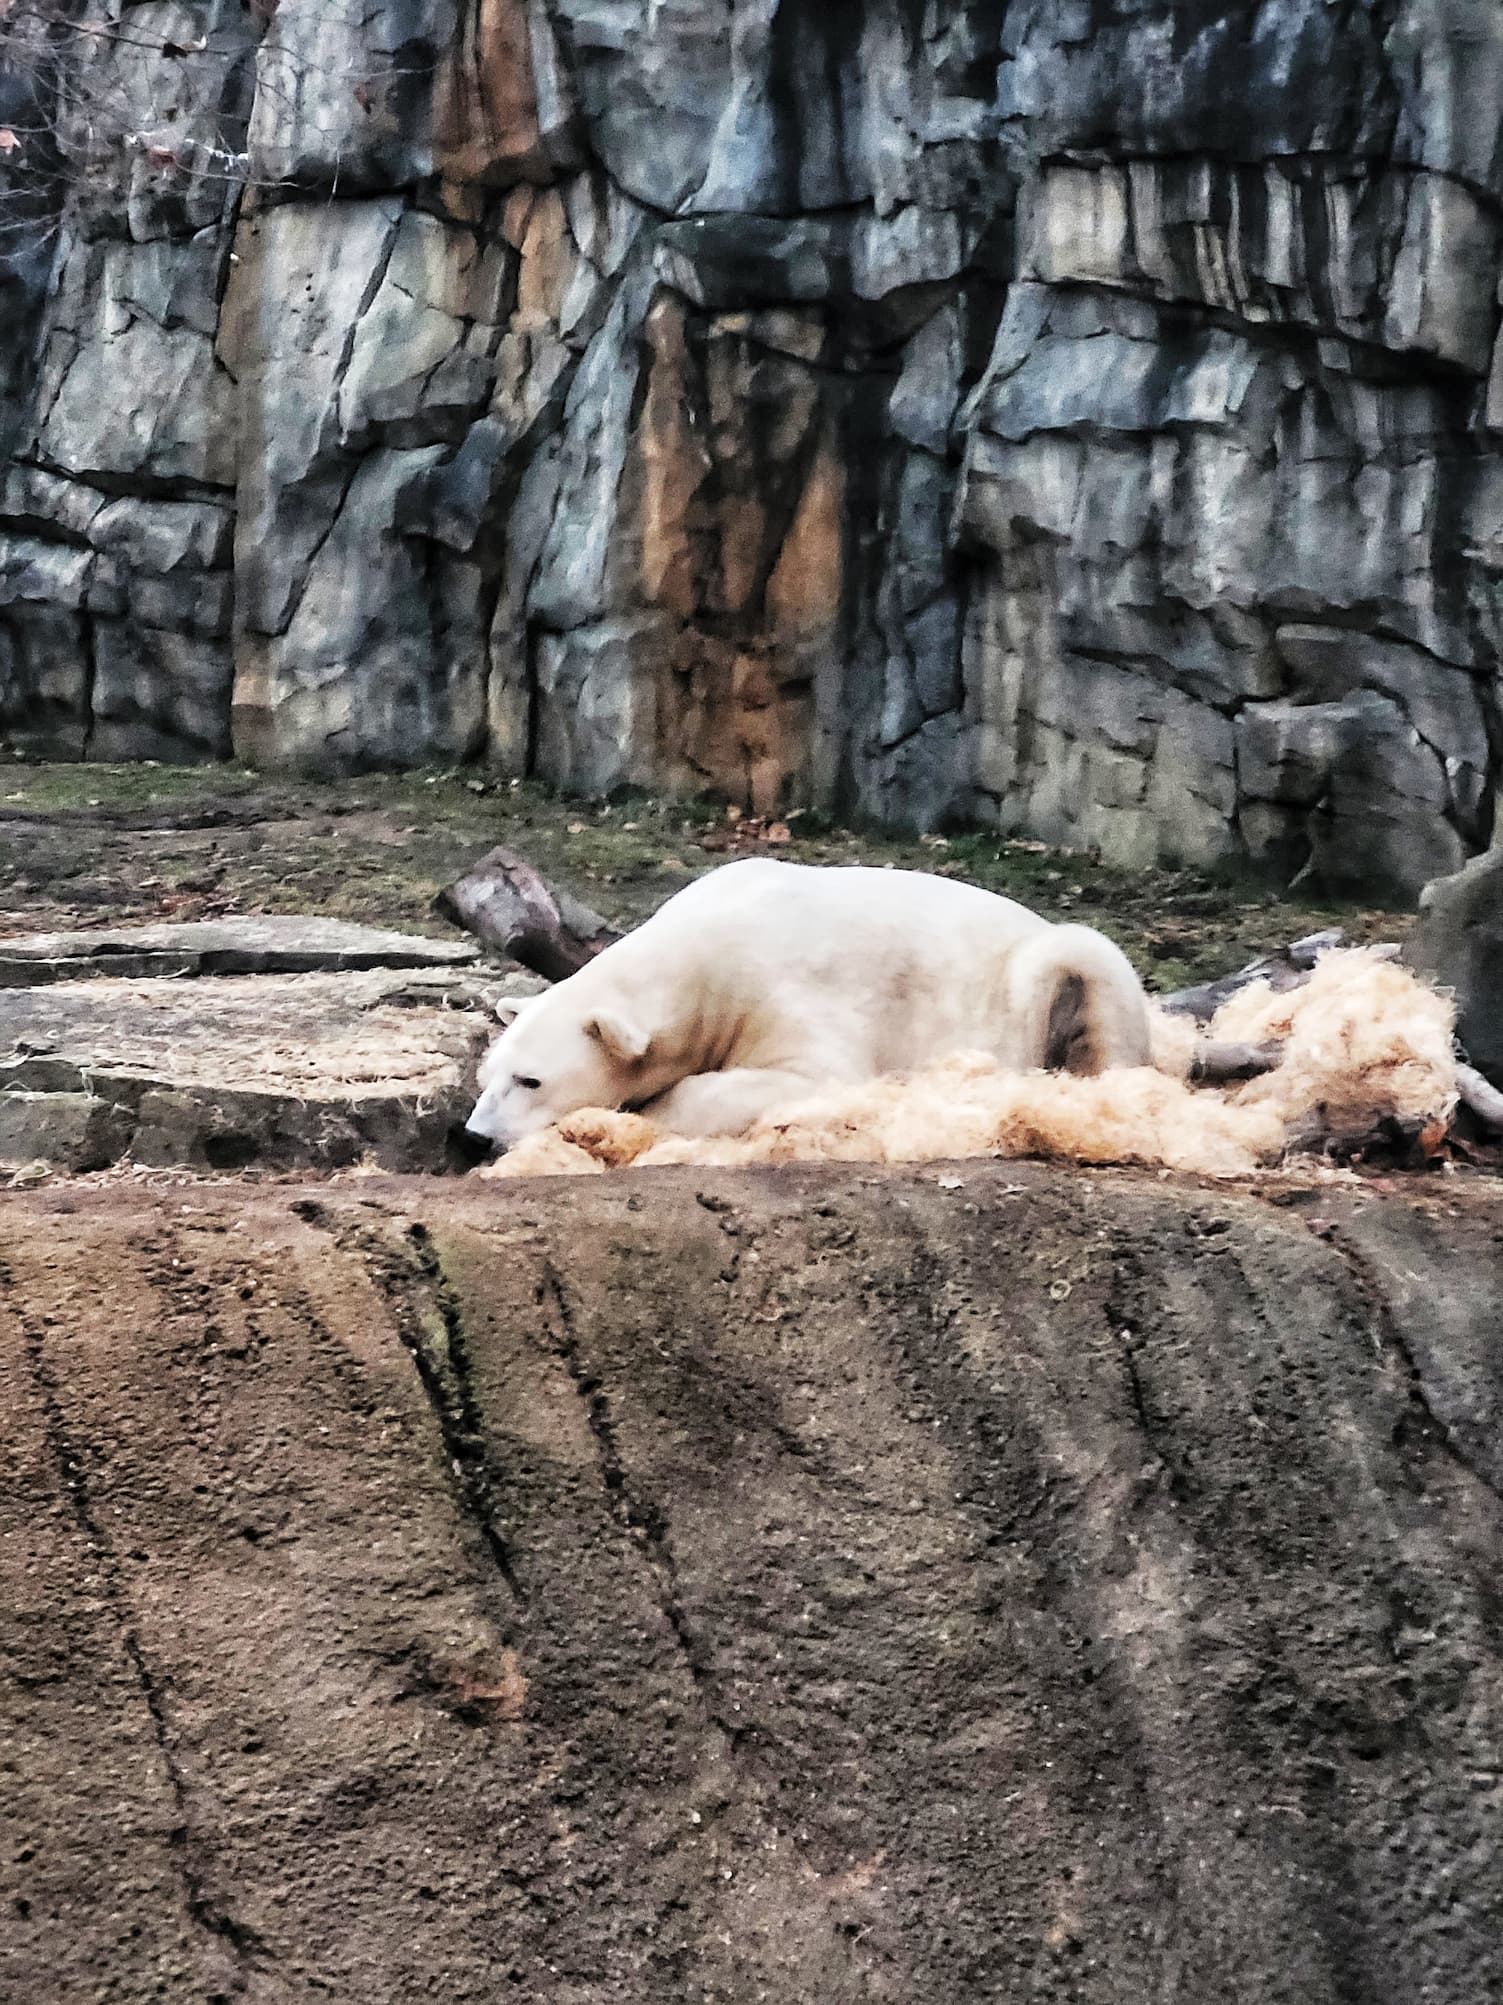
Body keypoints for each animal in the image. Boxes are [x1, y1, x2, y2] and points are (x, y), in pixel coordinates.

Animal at [464, 856, 1153, 1153]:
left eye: (531, 1080)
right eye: (486, 1075)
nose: (475, 1137)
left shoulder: (785, 989)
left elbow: (807, 1078)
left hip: (1044, 974)